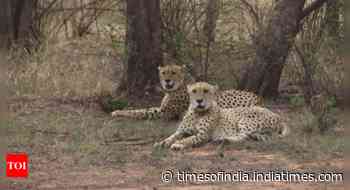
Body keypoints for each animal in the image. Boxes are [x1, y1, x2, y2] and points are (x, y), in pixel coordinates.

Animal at [110, 65, 262, 120]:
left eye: (173, 72)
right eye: (164, 72)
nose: (167, 80)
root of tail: (257, 97)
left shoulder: (166, 113)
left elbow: (141, 112)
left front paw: (117, 112)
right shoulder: (162, 108)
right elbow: (142, 108)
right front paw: (118, 110)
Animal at [154, 82, 288, 151]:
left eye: (206, 91)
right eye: (194, 91)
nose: (199, 101)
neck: (197, 112)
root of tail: (278, 116)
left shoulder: (203, 135)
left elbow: (189, 139)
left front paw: (178, 144)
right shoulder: (181, 131)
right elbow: (171, 136)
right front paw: (161, 143)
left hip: (244, 120)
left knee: (243, 136)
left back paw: (224, 140)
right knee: (255, 136)